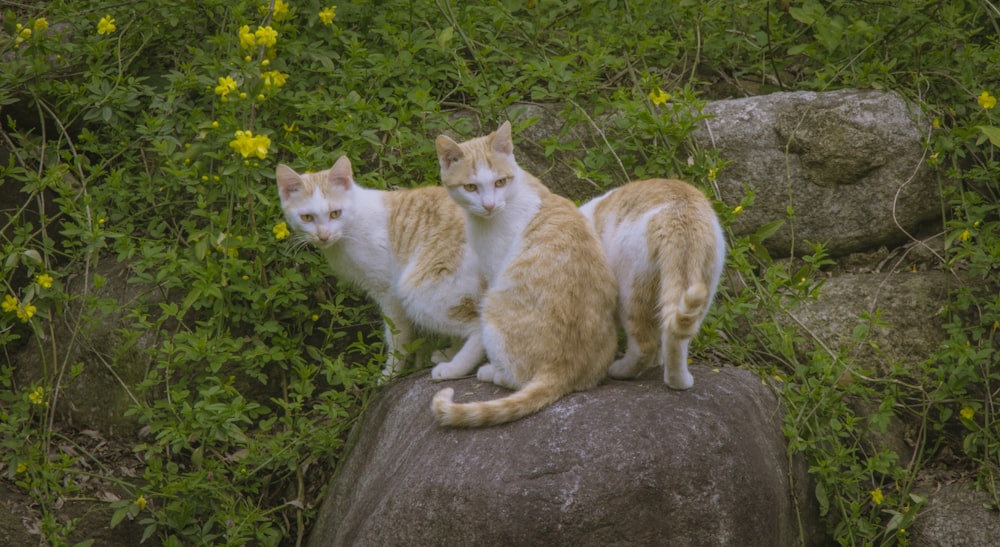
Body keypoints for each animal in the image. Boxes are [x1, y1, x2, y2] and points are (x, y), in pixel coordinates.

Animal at [276, 156, 486, 382]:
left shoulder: (388, 292)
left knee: (478, 325)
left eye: (335, 214)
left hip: (419, 290)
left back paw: (454, 368)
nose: (323, 236)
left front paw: (391, 373)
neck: (351, 226)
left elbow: (396, 337)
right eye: (307, 217)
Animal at [434, 120, 620, 428]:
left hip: (493, 307)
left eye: (500, 182)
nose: (489, 205)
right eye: (471, 187)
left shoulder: (493, 273)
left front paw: (452, 365)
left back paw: (491, 372)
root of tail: (563, 368)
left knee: (518, 380)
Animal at [580, 179, 728, 390]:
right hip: (702, 289)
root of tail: (679, 220)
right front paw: (658, 361)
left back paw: (621, 370)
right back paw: (678, 381)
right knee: (675, 336)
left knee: (644, 345)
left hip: (631, 291)